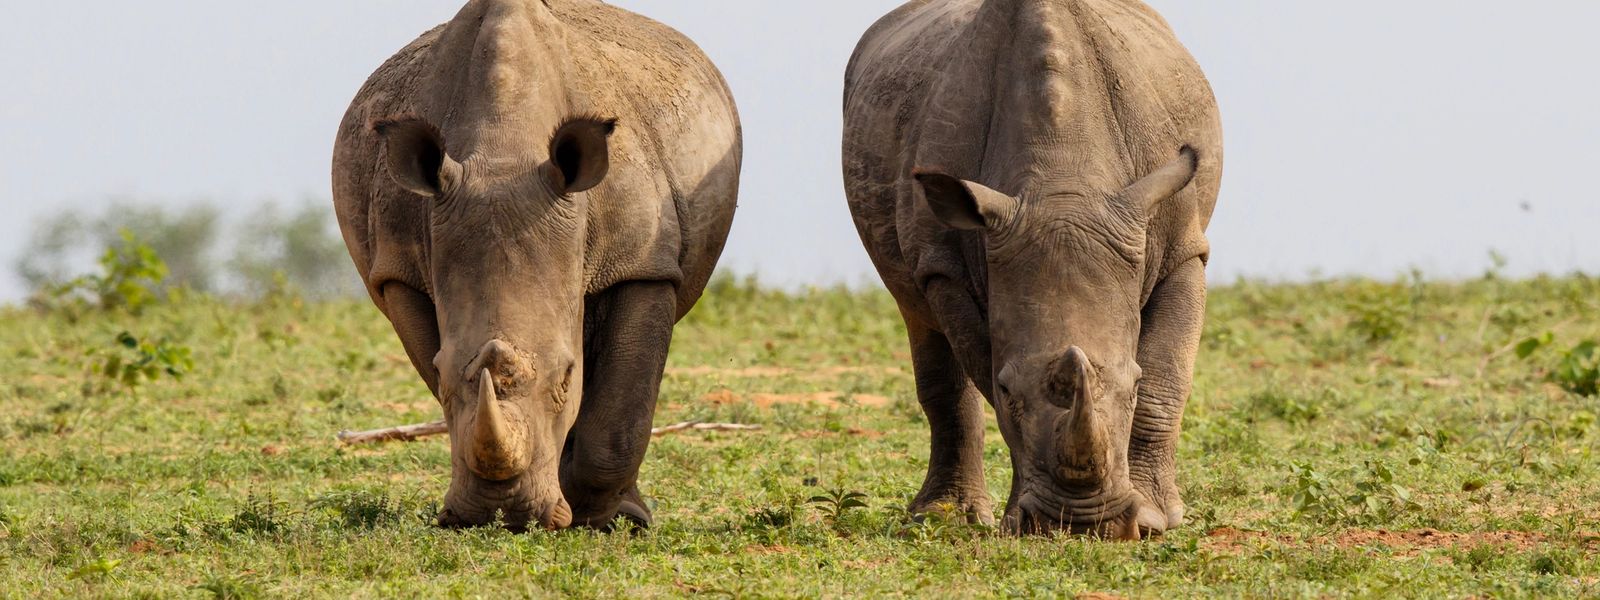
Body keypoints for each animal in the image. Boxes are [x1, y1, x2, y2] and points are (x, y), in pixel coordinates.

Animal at [331, 0, 740, 531]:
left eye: (566, 376)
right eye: (442, 373)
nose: (501, 514)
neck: (504, 150)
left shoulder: (643, 262)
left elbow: (620, 411)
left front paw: (610, 519)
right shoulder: (398, 270)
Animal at [842, 0, 1222, 537]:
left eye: (1131, 384)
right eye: (1007, 388)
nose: (1082, 525)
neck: (1063, 183)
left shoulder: (1183, 247)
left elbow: (1166, 379)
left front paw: (1155, 518)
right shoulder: (946, 267)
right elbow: (983, 369)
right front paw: (1017, 523)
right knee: (917, 313)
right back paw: (940, 516)